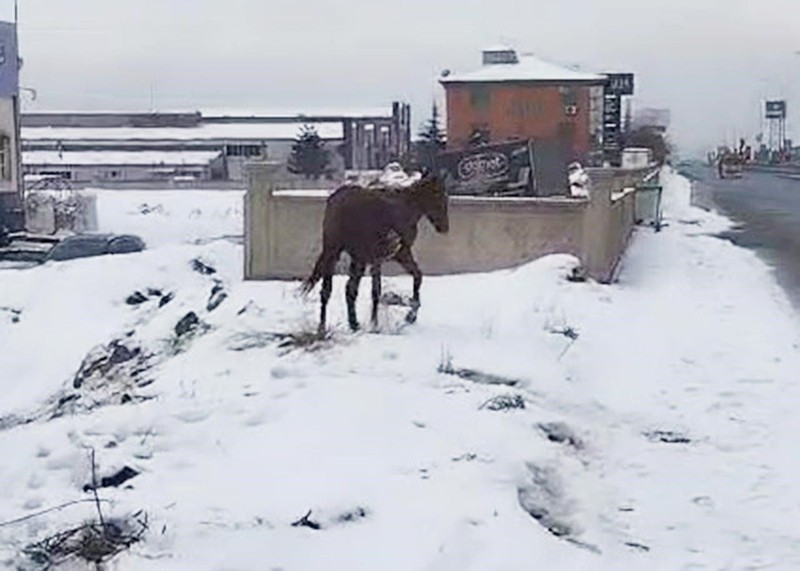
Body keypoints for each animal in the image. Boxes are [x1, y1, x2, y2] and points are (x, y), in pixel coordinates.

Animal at [302, 174, 450, 336]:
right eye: (439, 195)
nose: (444, 227)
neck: (406, 208)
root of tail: (335, 200)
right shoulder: (394, 254)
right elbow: (378, 290)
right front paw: (381, 323)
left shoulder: (382, 257)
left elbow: (416, 276)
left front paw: (408, 314)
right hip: (335, 252)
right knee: (330, 290)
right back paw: (325, 327)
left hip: (349, 256)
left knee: (345, 290)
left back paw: (350, 324)